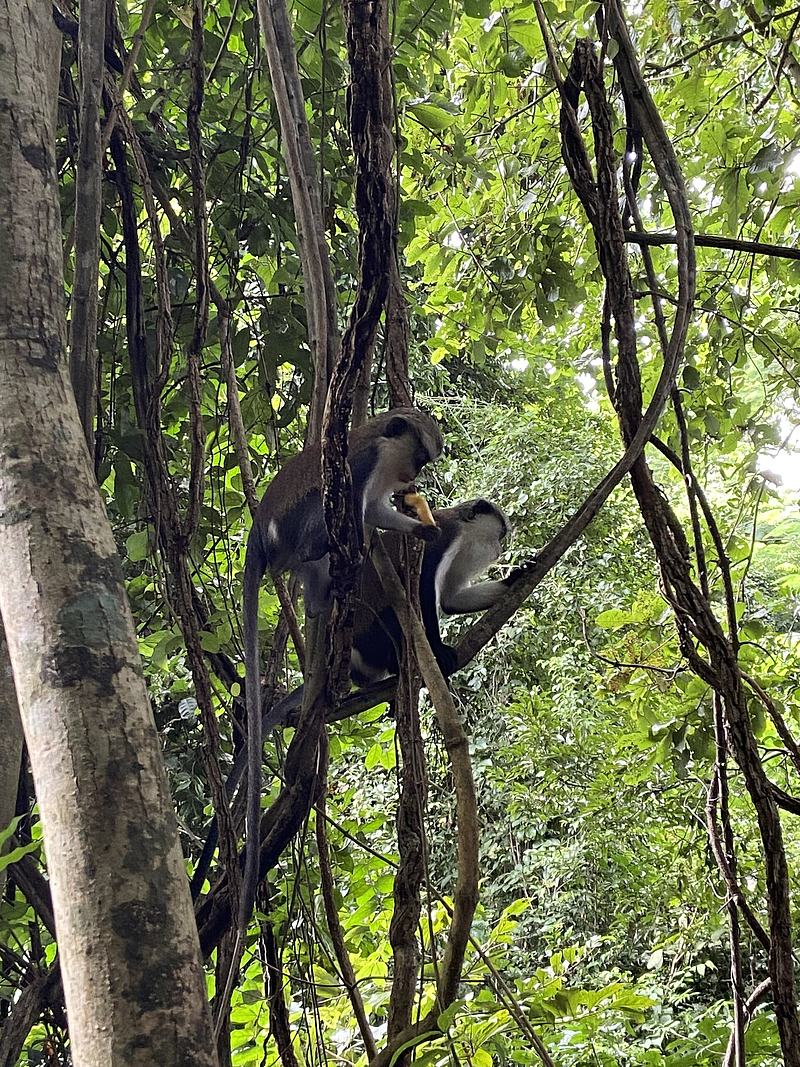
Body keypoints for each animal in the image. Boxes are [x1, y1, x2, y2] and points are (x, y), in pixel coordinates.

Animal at [237, 407, 443, 930]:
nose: (412, 479)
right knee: (333, 524)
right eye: (419, 456)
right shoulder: (363, 465)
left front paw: (422, 527)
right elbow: (359, 508)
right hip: (296, 532)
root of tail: (259, 533)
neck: (382, 446)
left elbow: (376, 513)